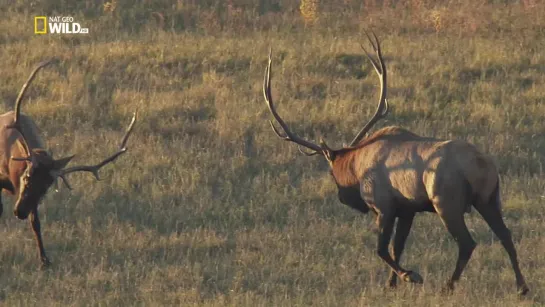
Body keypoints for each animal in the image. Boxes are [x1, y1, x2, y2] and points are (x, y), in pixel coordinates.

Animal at [262, 31, 528, 296]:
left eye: (331, 173)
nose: (341, 197)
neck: (356, 167)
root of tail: (482, 166)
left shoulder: (384, 206)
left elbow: (381, 249)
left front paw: (410, 275)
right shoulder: (407, 210)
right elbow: (396, 247)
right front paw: (391, 283)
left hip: (446, 202)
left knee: (467, 243)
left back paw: (448, 286)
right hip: (489, 199)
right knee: (506, 236)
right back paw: (521, 286)